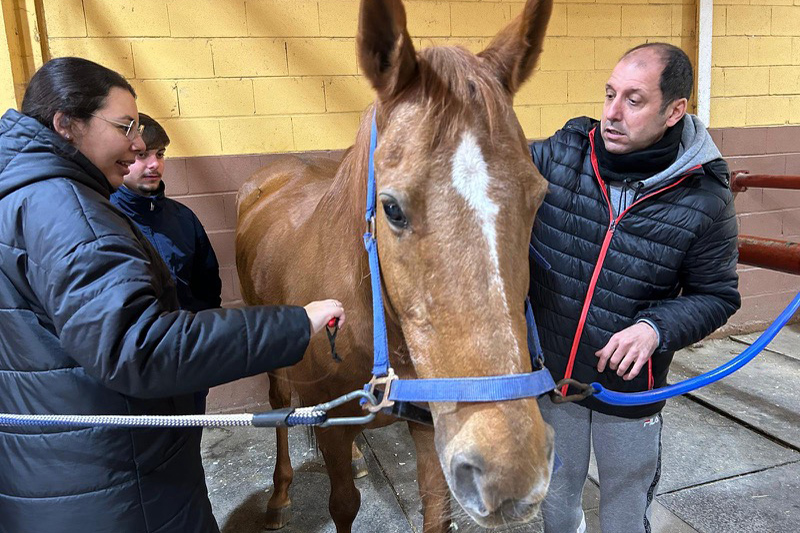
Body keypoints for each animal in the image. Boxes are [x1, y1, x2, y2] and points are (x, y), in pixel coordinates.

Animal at [235, 0, 554, 530]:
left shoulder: (429, 427)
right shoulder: (331, 427)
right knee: (279, 406)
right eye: (391, 208)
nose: (511, 476)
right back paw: (279, 497)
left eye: (539, 197)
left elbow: (436, 508)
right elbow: (343, 504)